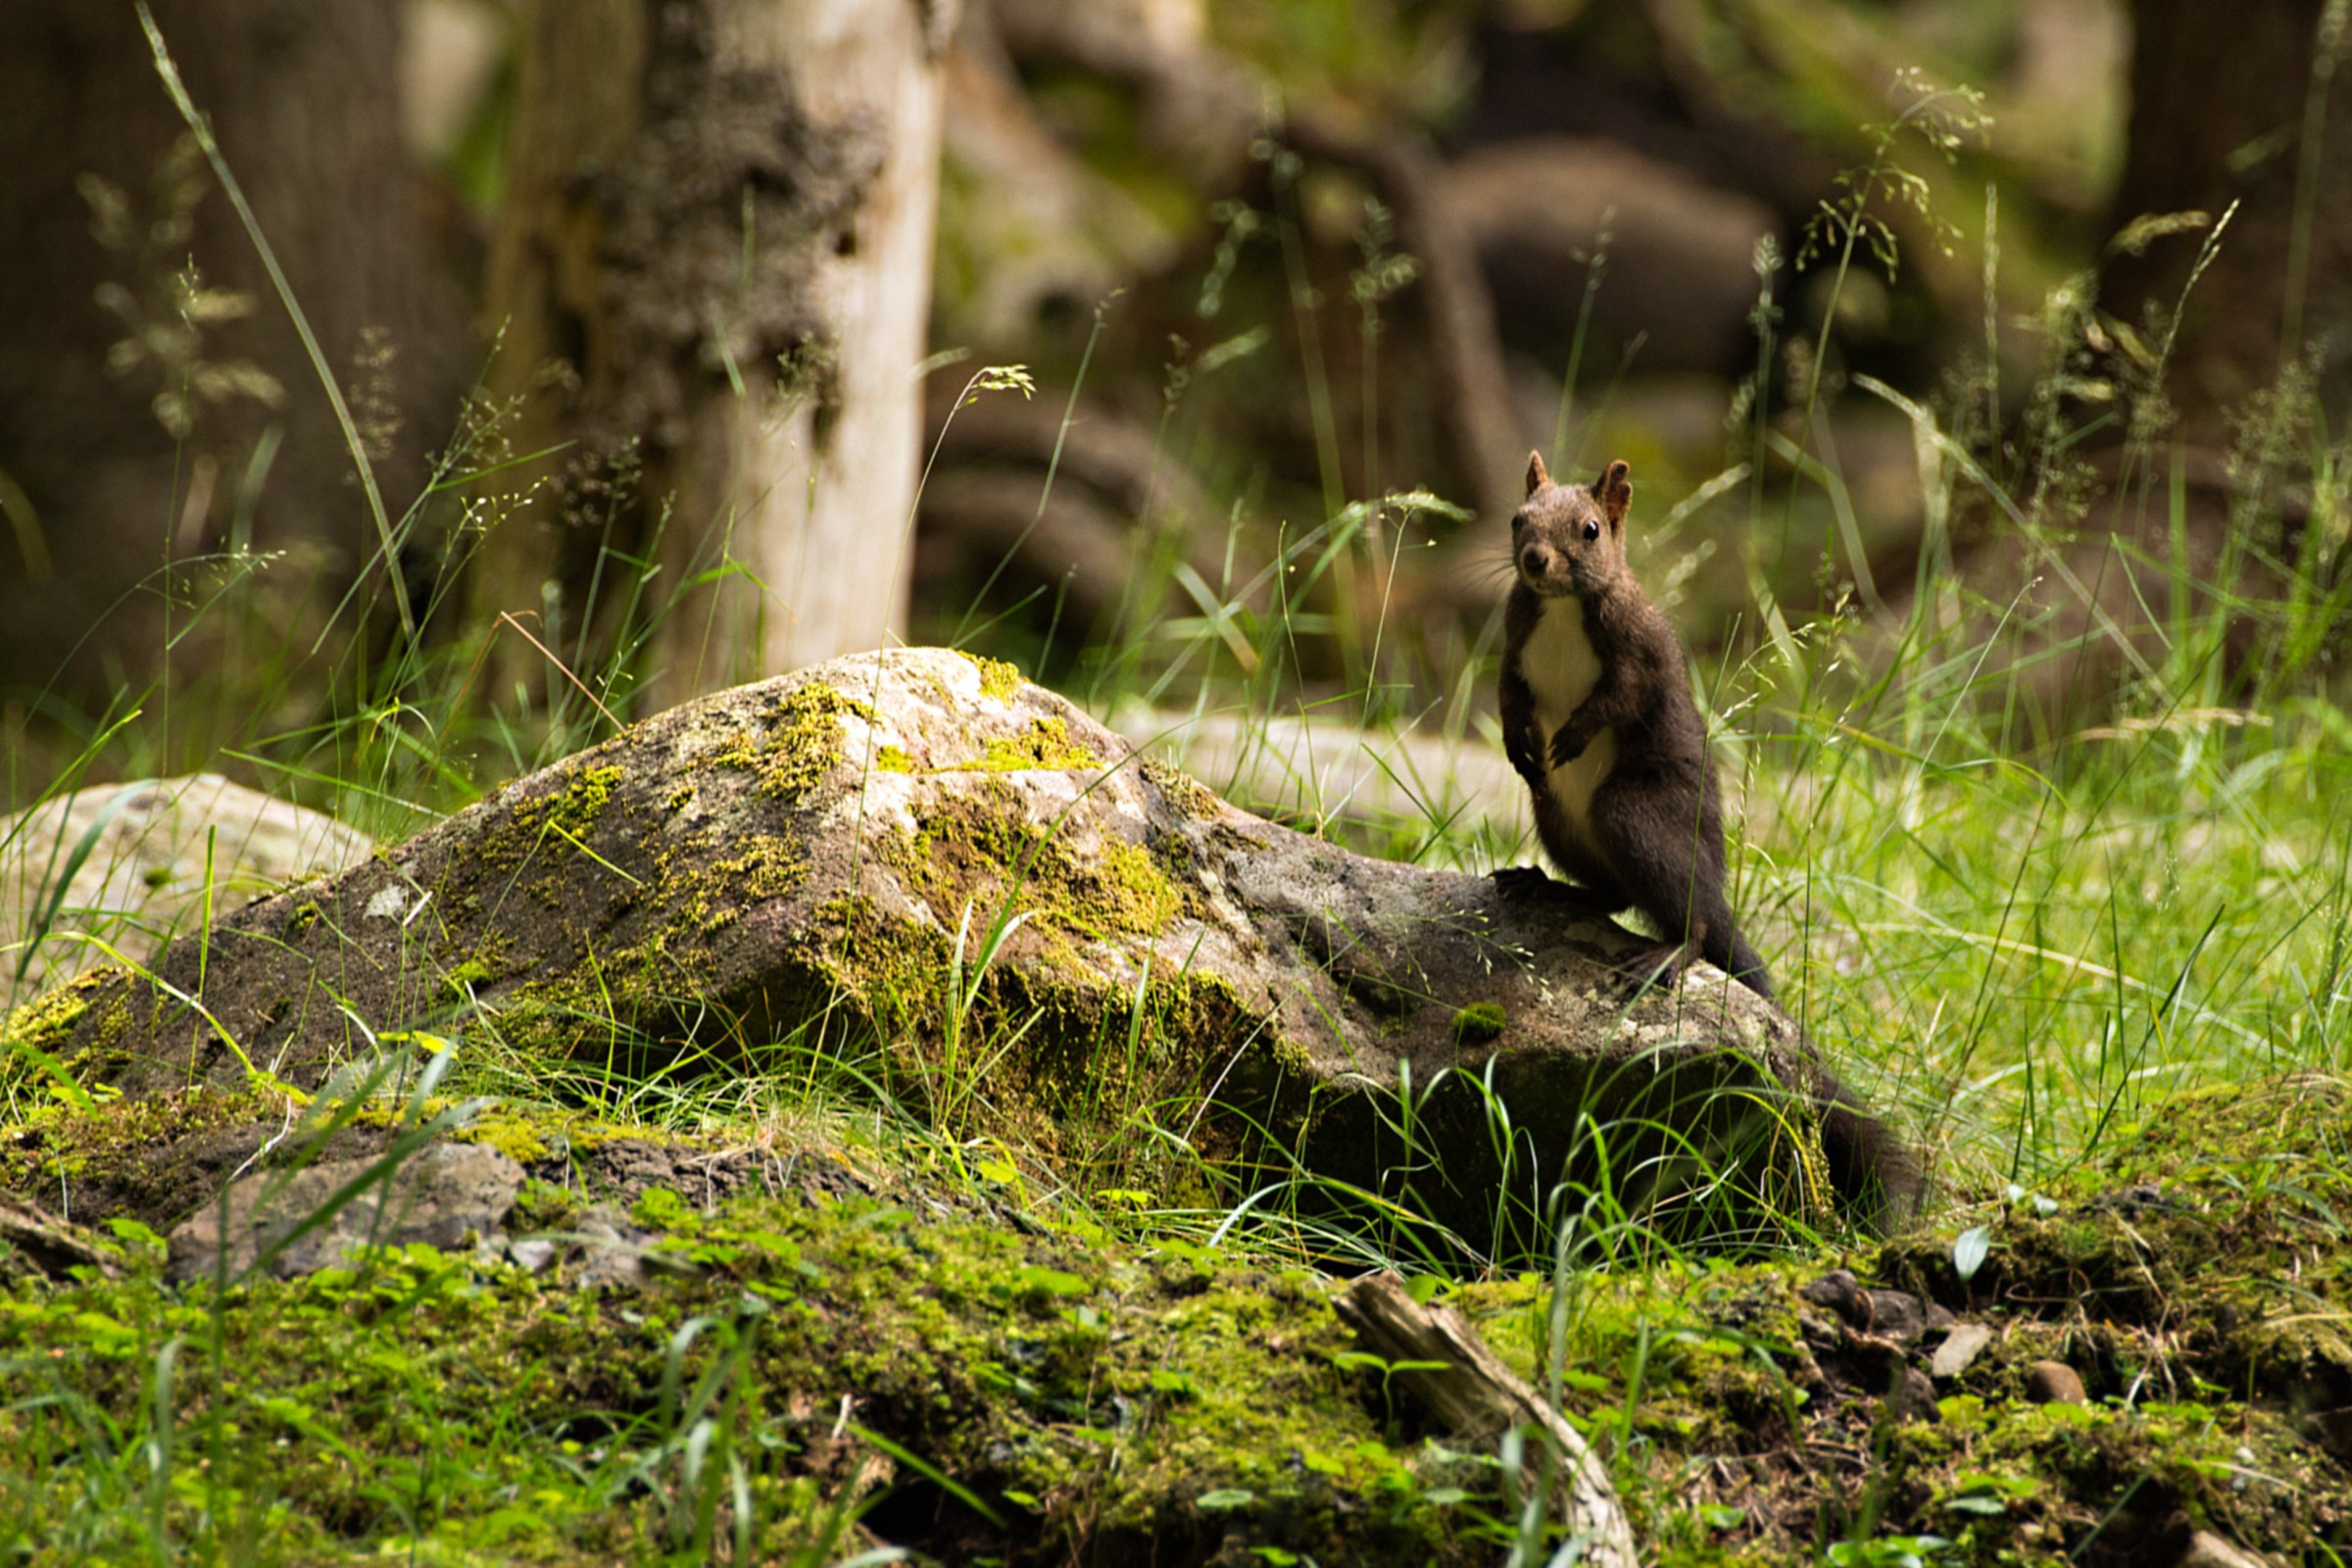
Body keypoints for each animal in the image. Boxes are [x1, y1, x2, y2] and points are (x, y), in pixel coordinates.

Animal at [1495, 453, 1919, 1222]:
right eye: (1518, 520)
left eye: (1591, 529)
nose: (1536, 560)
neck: (1566, 608)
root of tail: (1718, 890)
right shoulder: (1516, 636)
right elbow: (1509, 694)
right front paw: (1523, 744)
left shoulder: (1639, 652)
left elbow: (1620, 697)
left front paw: (1574, 731)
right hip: (1558, 818)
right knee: (1609, 892)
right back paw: (1546, 887)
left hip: (1632, 813)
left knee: (1686, 918)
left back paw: (1668, 952)